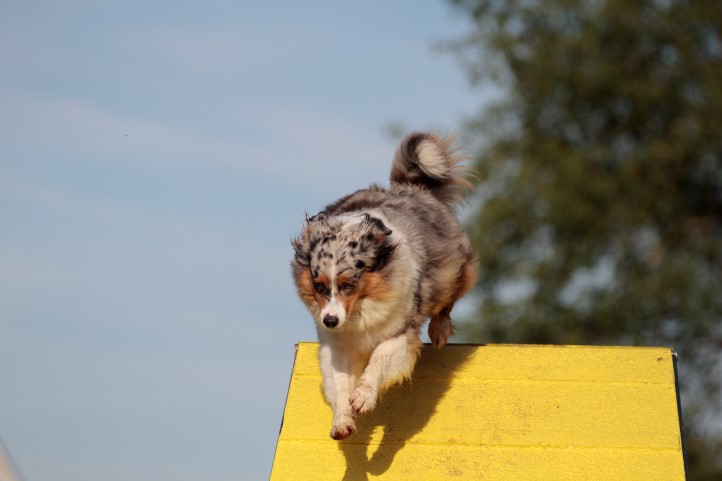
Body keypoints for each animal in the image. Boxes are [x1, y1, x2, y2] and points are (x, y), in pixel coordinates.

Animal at [290, 131, 476, 438]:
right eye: (319, 285)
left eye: (349, 283)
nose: (330, 320)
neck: (360, 310)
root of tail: (410, 186)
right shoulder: (337, 346)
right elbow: (340, 383)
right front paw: (342, 420)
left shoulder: (398, 334)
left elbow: (379, 360)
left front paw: (363, 397)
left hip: (453, 269)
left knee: (449, 298)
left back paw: (439, 329)